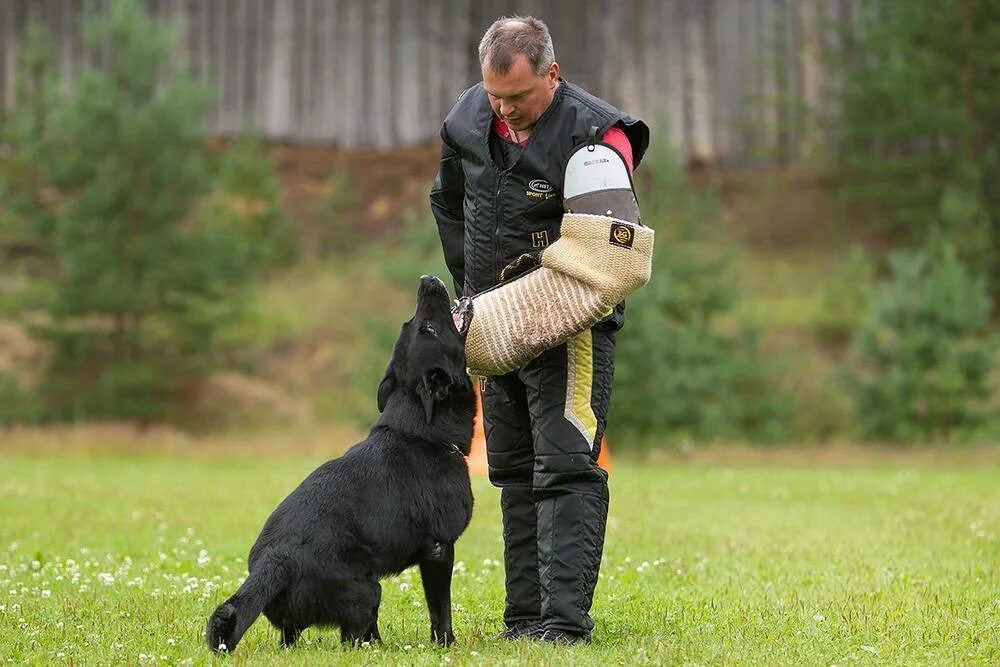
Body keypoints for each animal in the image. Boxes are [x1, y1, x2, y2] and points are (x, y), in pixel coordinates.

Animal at [205, 276, 474, 652]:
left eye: (413, 326)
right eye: (428, 328)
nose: (427, 281)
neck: (420, 431)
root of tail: (275, 561)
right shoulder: (438, 549)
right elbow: (440, 609)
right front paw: (445, 645)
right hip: (367, 589)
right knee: (354, 637)